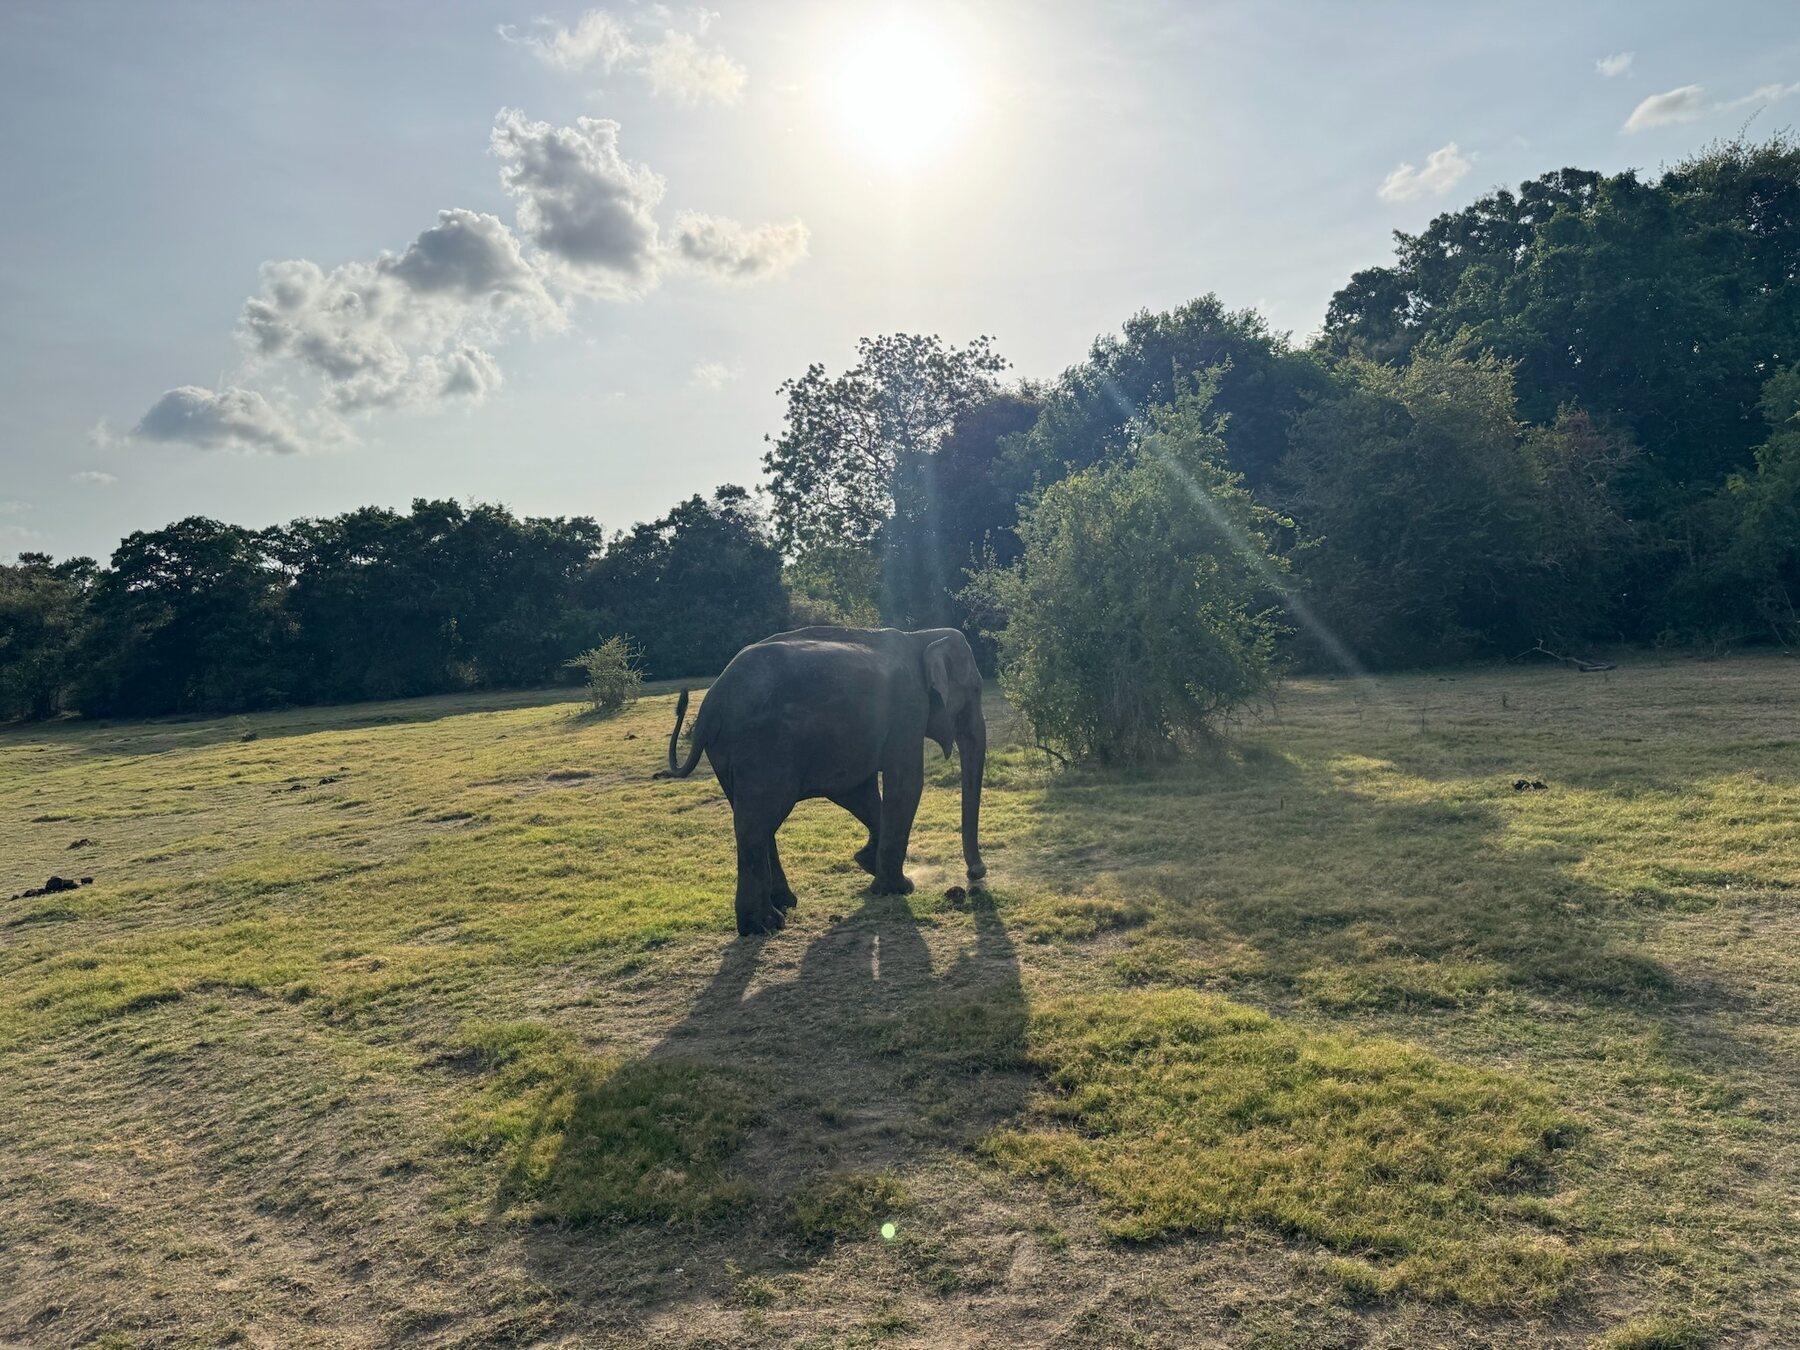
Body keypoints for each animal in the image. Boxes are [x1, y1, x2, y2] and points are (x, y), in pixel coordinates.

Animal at [655, 626, 988, 936]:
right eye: (976, 690)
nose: (976, 873)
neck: (920, 636)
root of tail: (709, 706)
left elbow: (858, 791)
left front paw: (866, 863)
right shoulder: (907, 710)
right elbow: (905, 782)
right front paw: (899, 887)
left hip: (727, 756)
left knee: (755, 819)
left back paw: (784, 903)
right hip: (763, 746)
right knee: (756, 822)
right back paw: (764, 925)